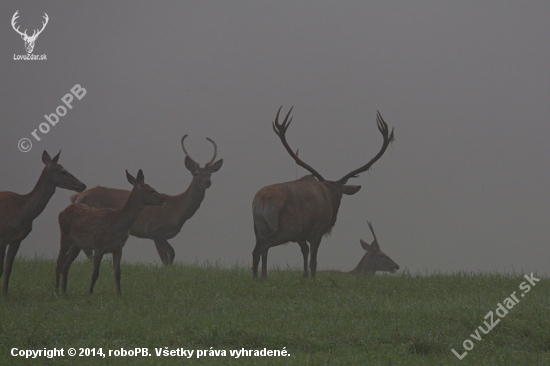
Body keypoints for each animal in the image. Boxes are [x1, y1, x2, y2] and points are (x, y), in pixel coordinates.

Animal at [0, 151, 85, 294]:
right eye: (63, 171)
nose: (82, 185)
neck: (23, 212)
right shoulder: (3, 237)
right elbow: (1, 268)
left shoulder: (17, 239)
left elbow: (8, 268)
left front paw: (5, 293)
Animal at [72, 136, 223, 264]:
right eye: (196, 173)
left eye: (209, 174)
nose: (207, 182)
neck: (179, 212)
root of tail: (76, 197)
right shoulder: (154, 230)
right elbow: (166, 257)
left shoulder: (161, 235)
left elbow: (171, 254)